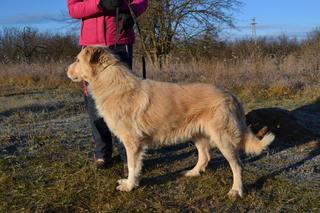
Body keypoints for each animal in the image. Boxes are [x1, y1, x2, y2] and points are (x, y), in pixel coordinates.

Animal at [66, 46, 274, 198]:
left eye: (77, 60)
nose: (66, 71)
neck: (110, 82)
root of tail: (231, 95)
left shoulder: (132, 142)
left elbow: (132, 166)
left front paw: (130, 186)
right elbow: (136, 166)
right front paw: (130, 182)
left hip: (223, 139)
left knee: (237, 165)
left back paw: (236, 191)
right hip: (197, 134)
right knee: (205, 156)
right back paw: (193, 173)